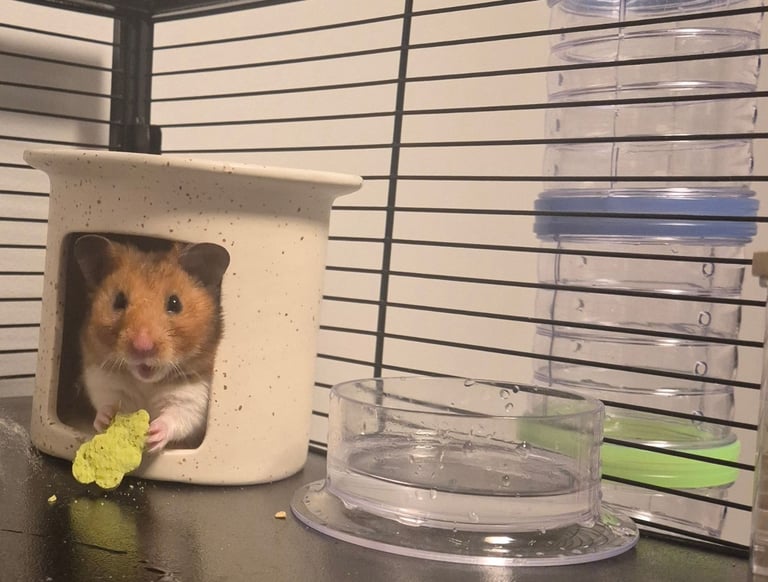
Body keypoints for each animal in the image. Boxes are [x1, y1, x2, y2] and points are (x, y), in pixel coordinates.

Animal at [73, 234, 230, 452]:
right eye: (119, 301)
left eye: (175, 303)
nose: (142, 347)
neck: (147, 382)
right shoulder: (102, 378)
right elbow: (107, 401)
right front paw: (104, 420)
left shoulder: (193, 394)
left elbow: (178, 416)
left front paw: (153, 434)